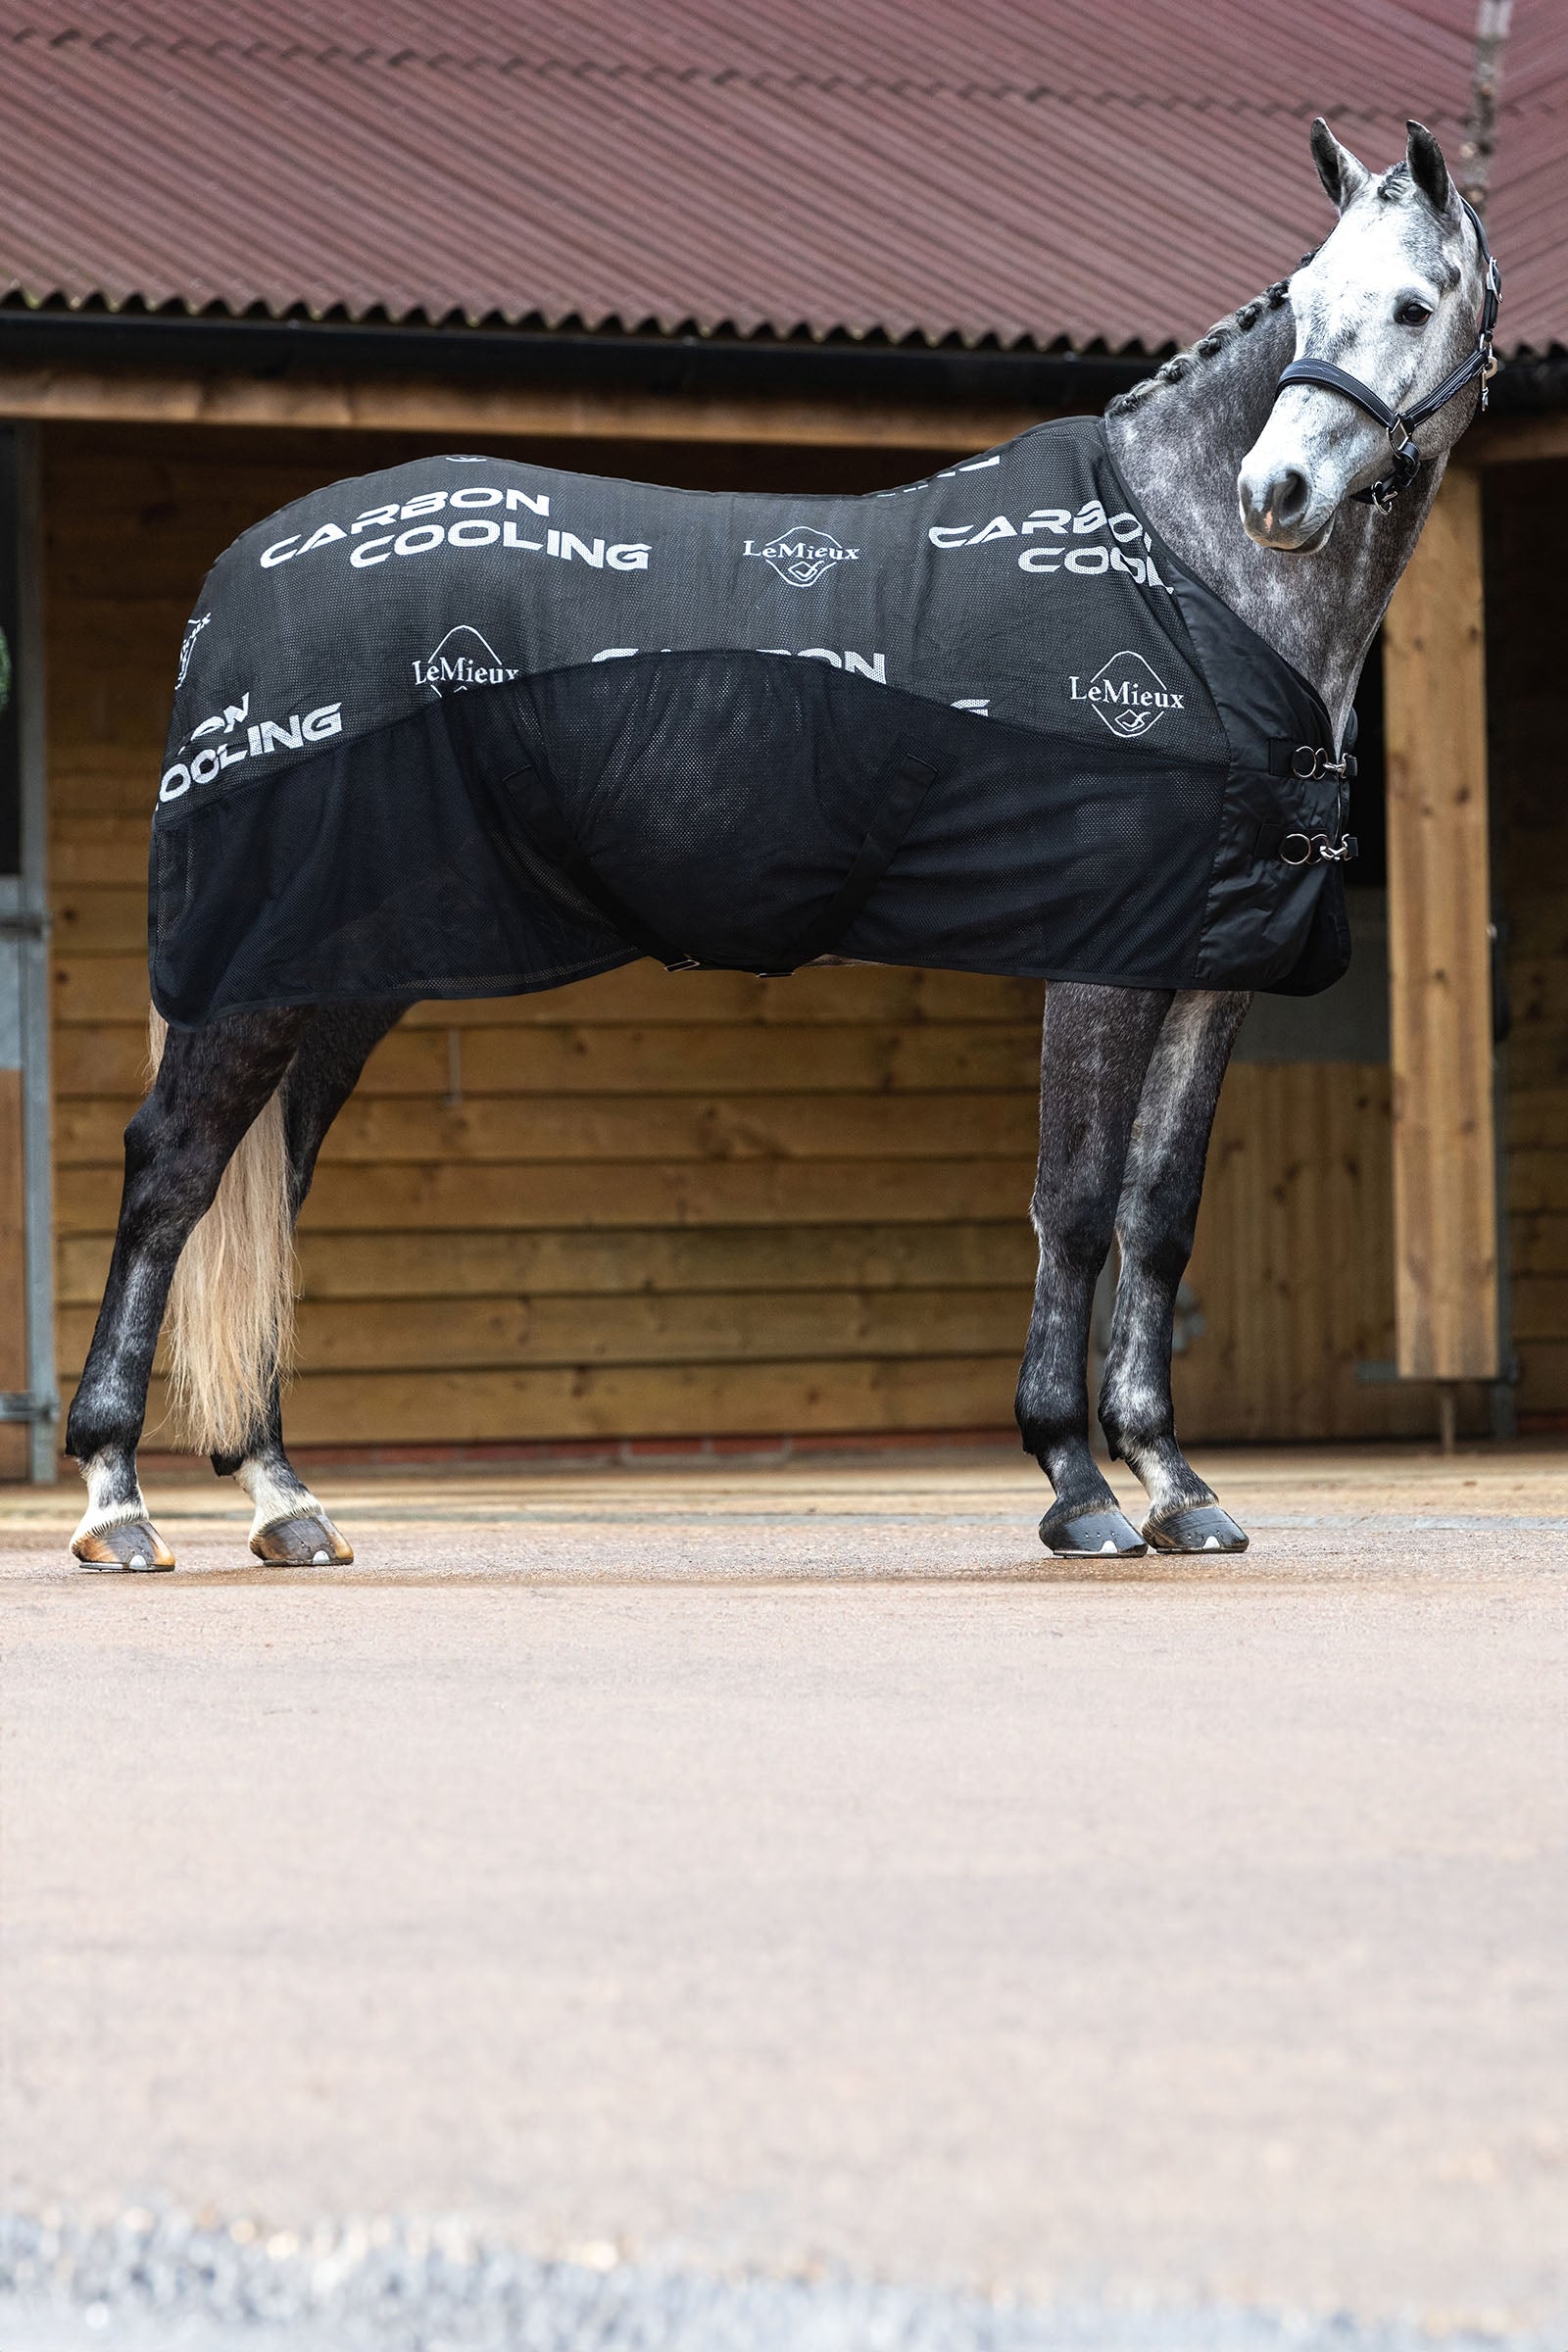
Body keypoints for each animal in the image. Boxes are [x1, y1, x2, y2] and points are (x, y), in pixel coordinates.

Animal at [65, 118, 1500, 1570]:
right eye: (1305, 304)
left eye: (1411, 305)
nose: (1277, 492)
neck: (1184, 584)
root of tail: (242, 579)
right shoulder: (1099, 960)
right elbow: (1077, 1203)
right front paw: (1075, 1483)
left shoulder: (1209, 973)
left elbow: (1158, 1217)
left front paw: (1175, 1484)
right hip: (269, 966)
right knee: (173, 1170)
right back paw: (118, 1501)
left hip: (350, 972)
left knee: (268, 1182)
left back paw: (284, 1499)